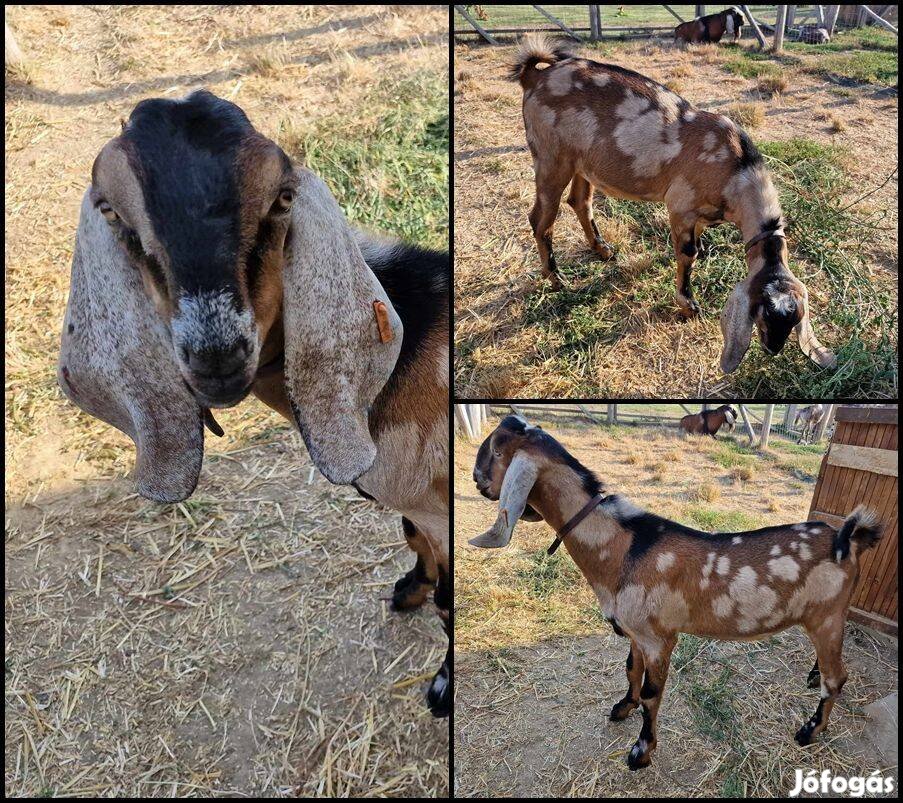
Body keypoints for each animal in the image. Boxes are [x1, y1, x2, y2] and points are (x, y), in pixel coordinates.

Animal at [56, 91, 452, 720]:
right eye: (112, 213)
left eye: (282, 198)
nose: (216, 354)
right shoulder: (421, 509)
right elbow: (414, 541)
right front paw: (408, 590)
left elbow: (449, 601)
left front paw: (442, 688)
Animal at [474, 418, 884, 768]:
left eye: (496, 449)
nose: (477, 481)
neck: (625, 546)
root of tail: (847, 539)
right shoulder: (636, 632)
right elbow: (631, 670)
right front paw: (622, 707)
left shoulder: (659, 638)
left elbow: (652, 695)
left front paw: (641, 752)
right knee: (828, 670)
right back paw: (812, 677)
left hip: (827, 616)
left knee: (837, 679)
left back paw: (809, 730)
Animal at [512, 36, 836, 376]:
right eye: (763, 315)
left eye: (794, 320)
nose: (772, 349)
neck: (736, 168)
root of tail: (534, 77)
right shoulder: (680, 206)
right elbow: (686, 254)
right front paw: (688, 304)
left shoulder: (702, 213)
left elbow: (698, 241)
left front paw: (703, 254)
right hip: (551, 158)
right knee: (541, 219)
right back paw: (556, 278)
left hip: (581, 163)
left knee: (579, 201)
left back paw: (602, 250)